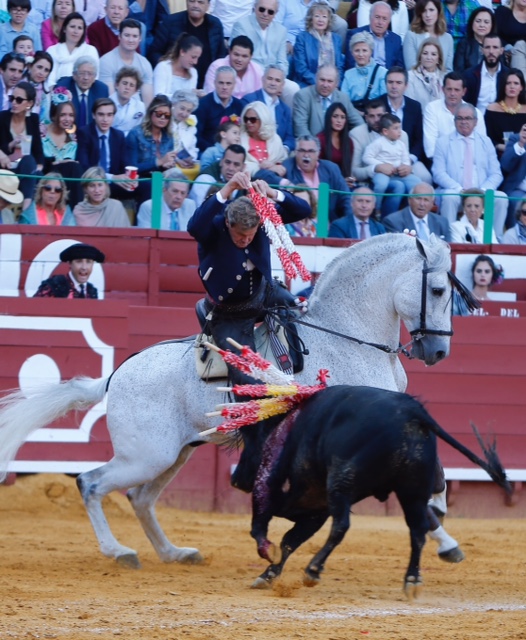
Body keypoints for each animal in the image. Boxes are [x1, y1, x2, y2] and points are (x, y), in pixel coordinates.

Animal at [0, 233, 456, 568]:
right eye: (437, 289)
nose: (438, 351)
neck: (348, 335)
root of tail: (117, 374)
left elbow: (433, 475)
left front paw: (443, 531)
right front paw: (443, 536)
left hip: (175, 452)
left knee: (140, 498)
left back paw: (174, 553)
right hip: (146, 455)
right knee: (90, 483)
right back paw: (120, 552)